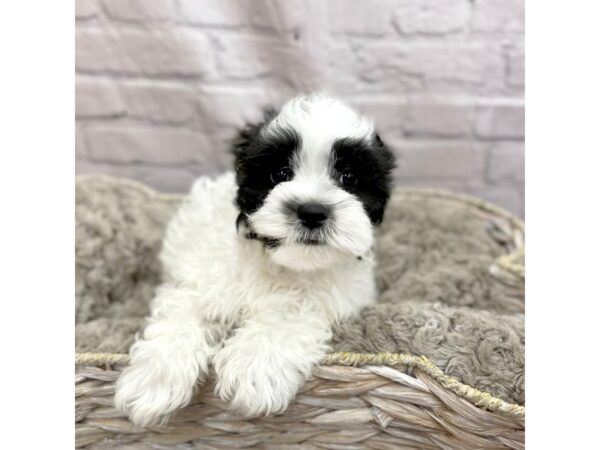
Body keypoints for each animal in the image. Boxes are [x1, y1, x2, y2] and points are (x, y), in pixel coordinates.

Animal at [115, 92, 396, 426]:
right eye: (280, 174)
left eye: (348, 177)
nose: (312, 211)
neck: (285, 264)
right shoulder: (199, 282)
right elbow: (182, 314)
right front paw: (153, 380)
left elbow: (289, 316)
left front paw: (255, 368)